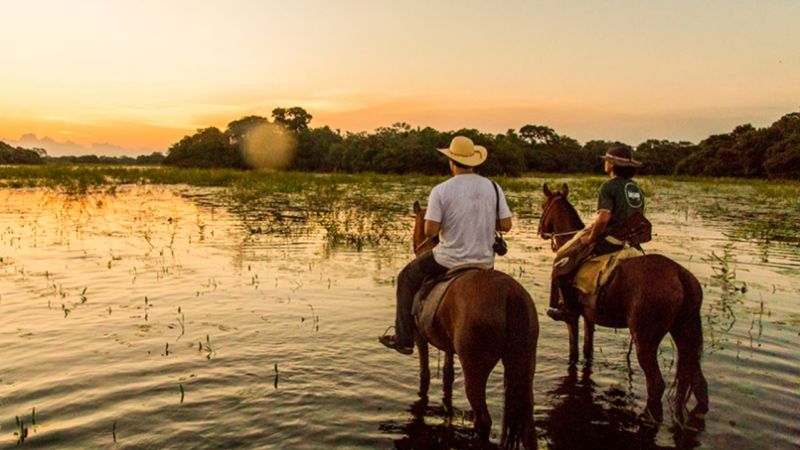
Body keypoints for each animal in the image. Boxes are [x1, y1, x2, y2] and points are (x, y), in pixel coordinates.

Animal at [412, 202, 536, 448]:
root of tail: (511, 295)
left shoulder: (421, 338)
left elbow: (425, 371)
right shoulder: (448, 346)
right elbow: (448, 372)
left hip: (475, 369)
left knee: (484, 420)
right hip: (525, 365)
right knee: (528, 428)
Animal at [536, 183, 708, 426]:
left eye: (544, 206)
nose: (541, 230)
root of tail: (679, 275)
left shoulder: (573, 317)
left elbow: (574, 352)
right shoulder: (589, 317)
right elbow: (588, 350)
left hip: (645, 340)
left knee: (656, 384)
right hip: (685, 333)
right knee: (699, 383)